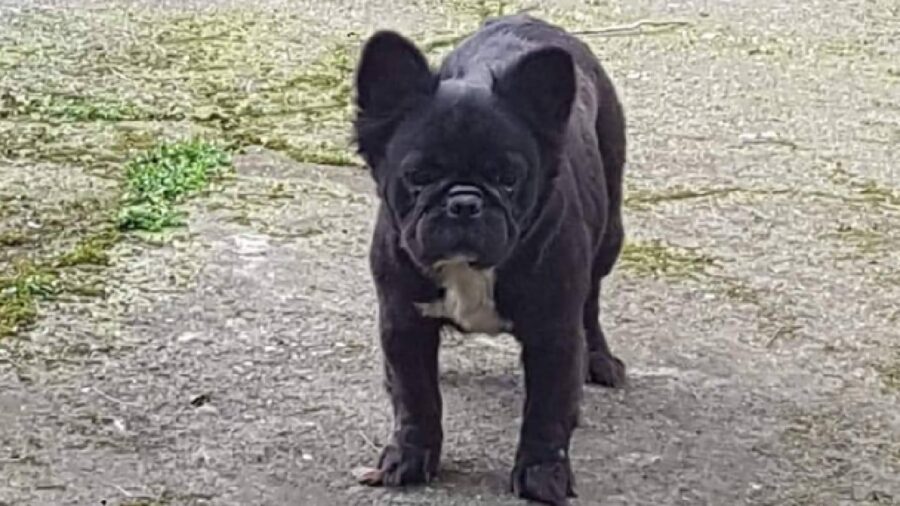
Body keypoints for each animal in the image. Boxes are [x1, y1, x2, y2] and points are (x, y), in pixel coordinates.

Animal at [352, 13, 624, 504]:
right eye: (418, 176)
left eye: (508, 177)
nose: (464, 202)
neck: (469, 271)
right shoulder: (403, 321)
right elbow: (416, 395)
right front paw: (410, 457)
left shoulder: (554, 333)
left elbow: (547, 411)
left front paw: (542, 476)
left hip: (610, 233)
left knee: (592, 300)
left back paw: (599, 359)